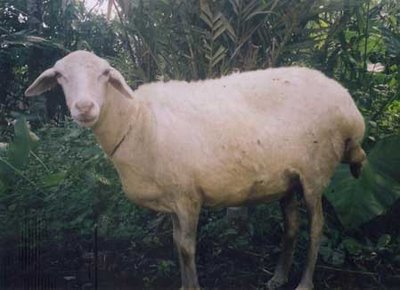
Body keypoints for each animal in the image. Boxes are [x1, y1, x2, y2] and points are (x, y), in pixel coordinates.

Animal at [25, 50, 366, 290]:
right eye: (59, 76)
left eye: (105, 74)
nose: (84, 108)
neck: (137, 121)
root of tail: (349, 107)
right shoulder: (173, 199)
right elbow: (177, 245)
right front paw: (183, 284)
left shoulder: (187, 196)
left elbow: (187, 248)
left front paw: (194, 286)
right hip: (288, 179)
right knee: (292, 226)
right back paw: (278, 277)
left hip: (314, 173)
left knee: (317, 227)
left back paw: (304, 283)